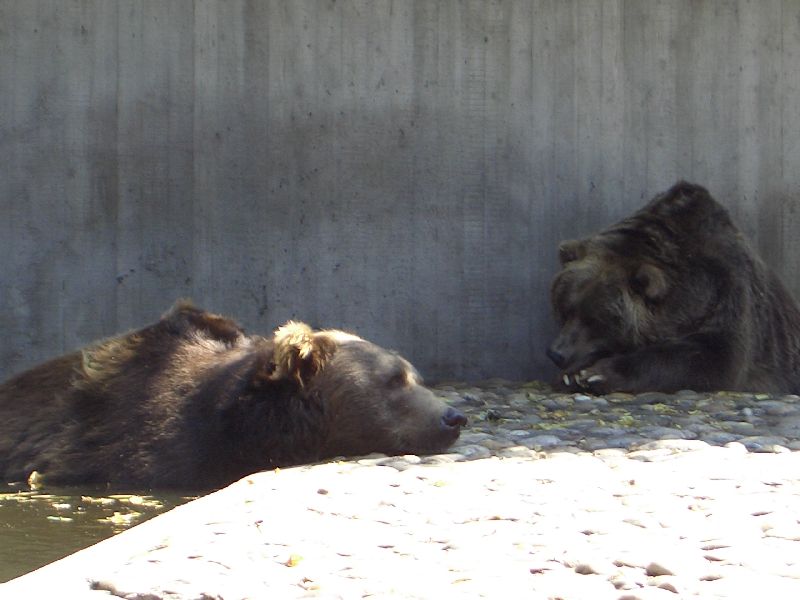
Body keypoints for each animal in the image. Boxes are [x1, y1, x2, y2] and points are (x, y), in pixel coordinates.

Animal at [552, 180, 800, 396]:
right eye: (564, 308)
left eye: (595, 319)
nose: (556, 353)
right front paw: (572, 374)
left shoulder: (728, 292)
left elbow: (713, 357)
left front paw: (598, 374)